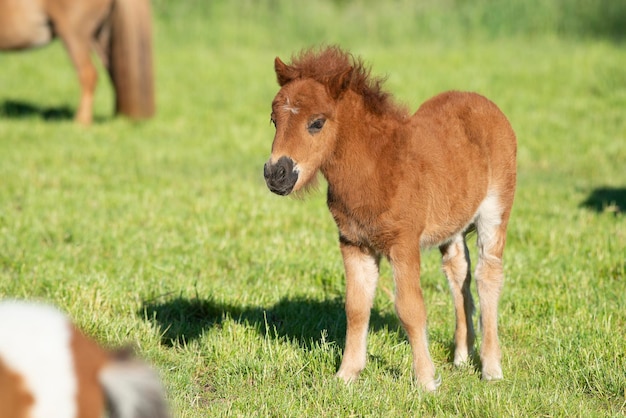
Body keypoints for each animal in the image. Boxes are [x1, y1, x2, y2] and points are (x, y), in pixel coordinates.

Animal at [260, 46, 516, 392]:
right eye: (275, 120)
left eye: (316, 123)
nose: (277, 174)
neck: (378, 168)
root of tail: (486, 105)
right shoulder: (354, 244)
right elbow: (356, 308)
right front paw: (346, 375)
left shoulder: (403, 244)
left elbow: (410, 308)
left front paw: (426, 381)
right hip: (452, 224)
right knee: (458, 272)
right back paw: (462, 357)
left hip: (495, 210)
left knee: (487, 276)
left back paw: (491, 368)